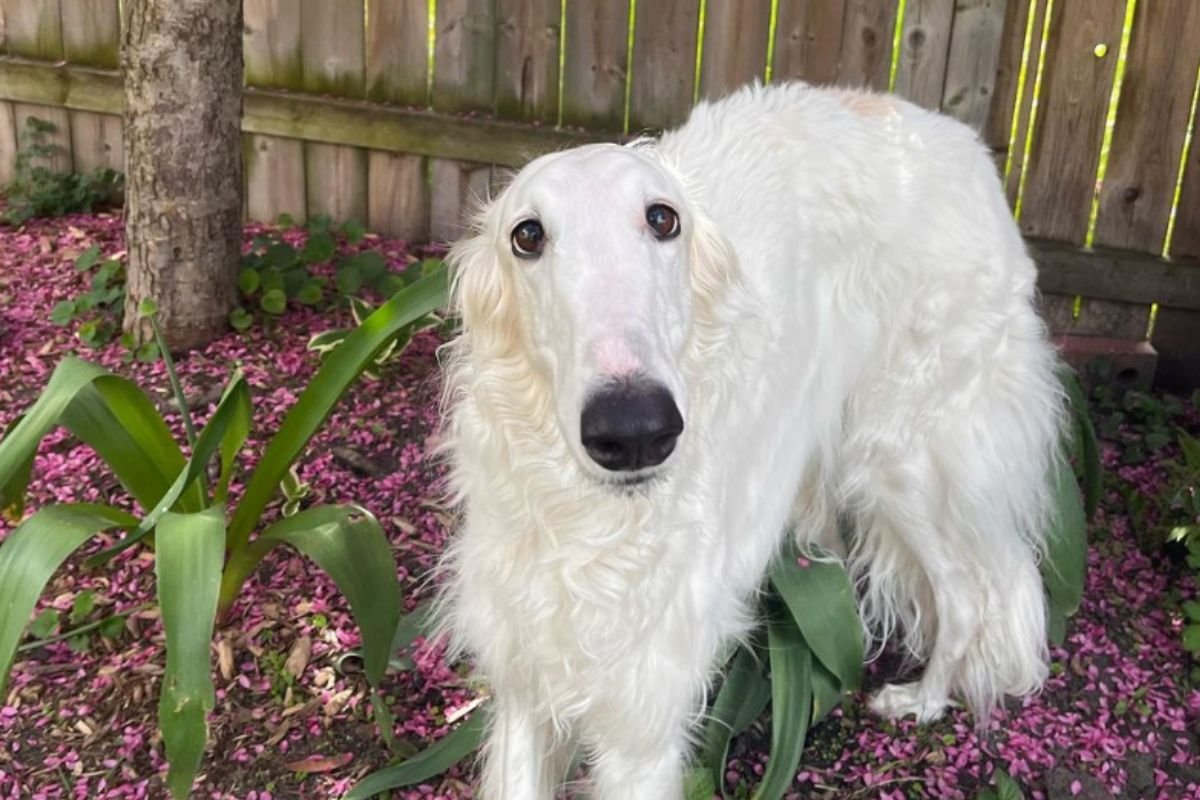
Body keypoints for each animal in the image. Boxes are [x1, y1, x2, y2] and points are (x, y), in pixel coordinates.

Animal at [436, 82, 1065, 800]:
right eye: (527, 235)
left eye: (663, 219)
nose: (635, 430)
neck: (586, 525)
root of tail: (964, 145)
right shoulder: (525, 676)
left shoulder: (643, 724)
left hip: (905, 459)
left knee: (966, 591)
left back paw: (925, 700)